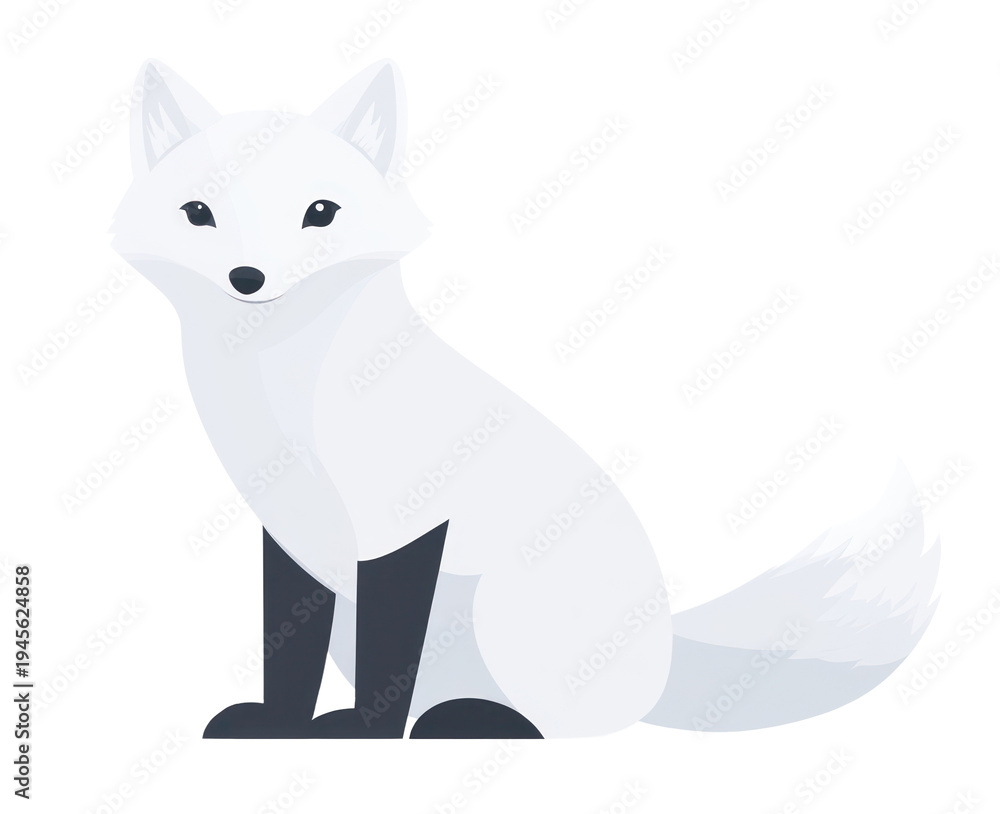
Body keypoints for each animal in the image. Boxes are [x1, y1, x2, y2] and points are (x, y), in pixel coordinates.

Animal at [112, 59, 940, 739]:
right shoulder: (288, 535)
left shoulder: (401, 525)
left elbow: (389, 654)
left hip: (504, 614)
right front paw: (282, 725)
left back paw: (472, 722)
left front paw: (364, 734)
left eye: (321, 212)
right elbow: (287, 646)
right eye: (198, 213)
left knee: (574, 724)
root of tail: (668, 656)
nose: (247, 278)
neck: (285, 399)